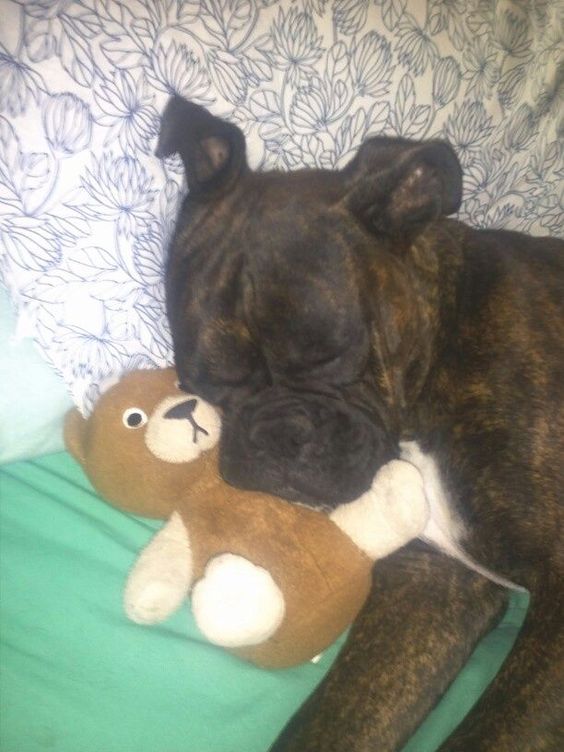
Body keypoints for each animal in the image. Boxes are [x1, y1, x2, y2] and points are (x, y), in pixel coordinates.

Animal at [156, 97, 564, 748]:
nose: (278, 436)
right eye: (203, 382)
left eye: (334, 353)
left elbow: (498, 730)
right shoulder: (430, 585)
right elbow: (333, 721)